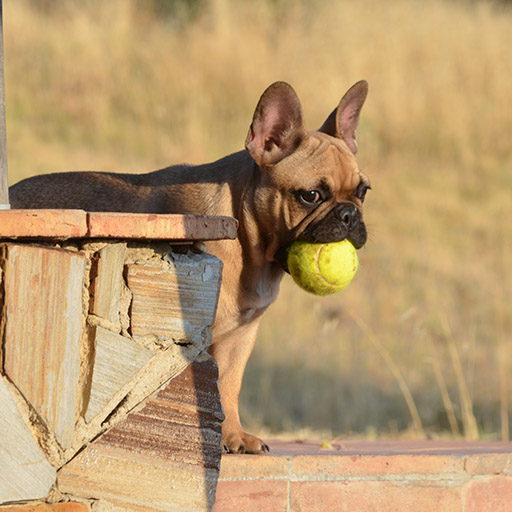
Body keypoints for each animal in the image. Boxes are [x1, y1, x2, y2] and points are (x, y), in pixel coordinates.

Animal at [10, 82, 370, 454]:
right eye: (310, 196)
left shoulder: (241, 337)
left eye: (362, 191)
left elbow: (229, 385)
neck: (248, 239)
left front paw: (234, 436)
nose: (350, 214)